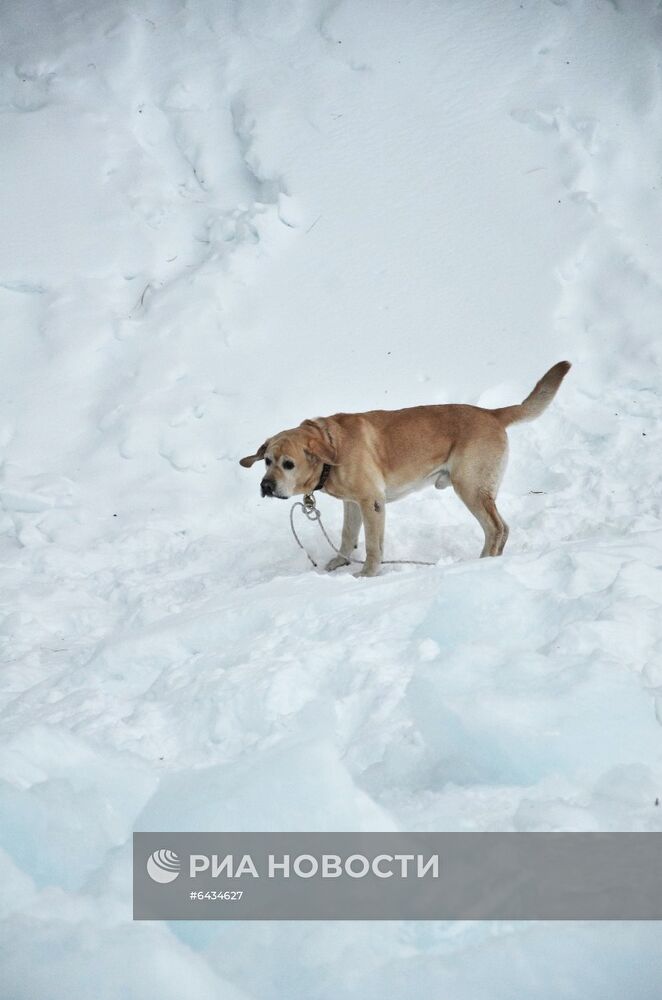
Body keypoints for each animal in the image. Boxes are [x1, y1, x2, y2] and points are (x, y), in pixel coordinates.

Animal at [241, 362, 572, 580]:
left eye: (288, 463)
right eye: (267, 460)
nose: (266, 486)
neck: (332, 448)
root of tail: (492, 414)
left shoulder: (372, 502)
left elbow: (373, 546)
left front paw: (367, 574)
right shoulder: (353, 503)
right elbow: (348, 536)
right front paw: (339, 562)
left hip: (471, 487)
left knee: (496, 529)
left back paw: (478, 565)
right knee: (502, 530)